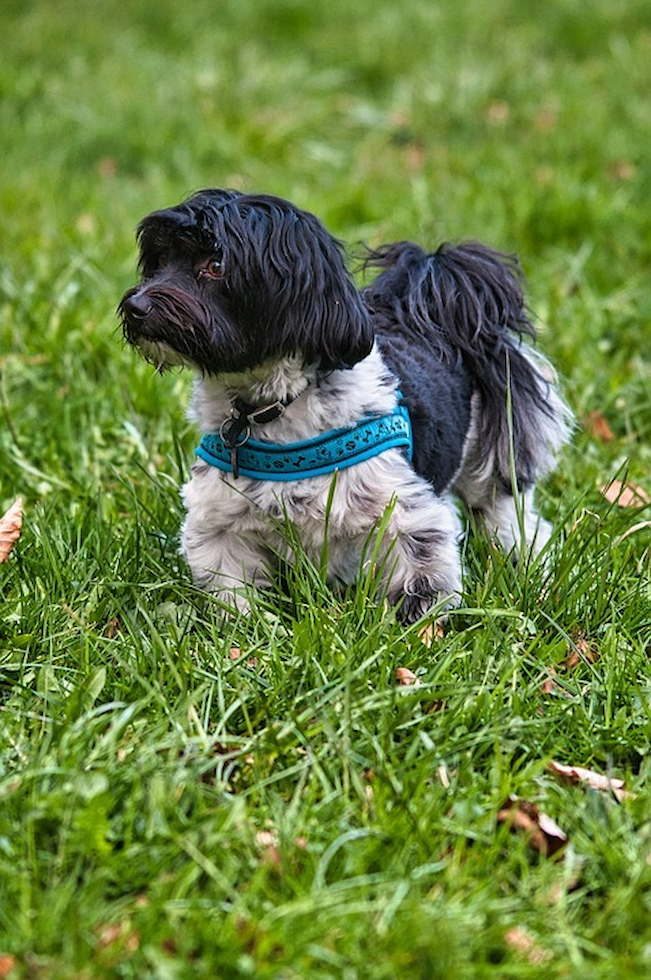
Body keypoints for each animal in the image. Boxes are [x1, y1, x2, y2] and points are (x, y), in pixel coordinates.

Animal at [119, 188, 572, 624]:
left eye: (215, 264)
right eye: (159, 263)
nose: (136, 306)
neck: (273, 408)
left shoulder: (405, 511)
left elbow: (422, 573)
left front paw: (421, 629)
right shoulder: (219, 523)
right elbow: (232, 591)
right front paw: (245, 631)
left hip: (487, 463)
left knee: (507, 515)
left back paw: (525, 563)